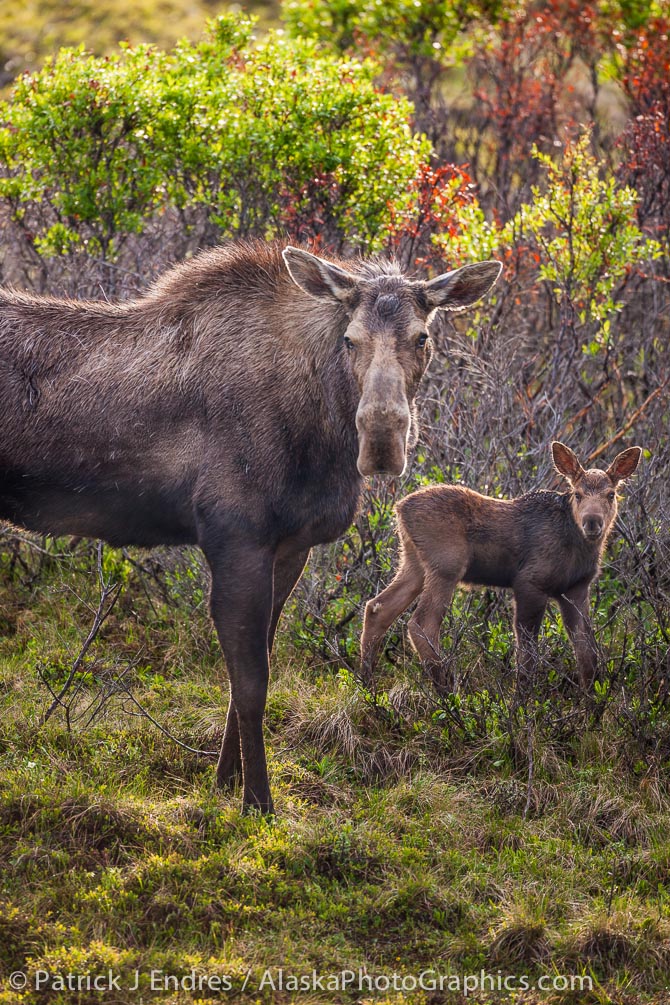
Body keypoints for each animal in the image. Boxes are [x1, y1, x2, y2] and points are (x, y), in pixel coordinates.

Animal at [0, 239, 502, 812]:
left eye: (423, 337)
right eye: (349, 339)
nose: (381, 439)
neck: (320, 432)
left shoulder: (291, 547)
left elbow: (256, 661)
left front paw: (224, 780)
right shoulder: (235, 536)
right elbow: (251, 683)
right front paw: (256, 800)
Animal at [361, 444, 642, 695]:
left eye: (611, 494)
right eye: (577, 494)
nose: (592, 522)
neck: (577, 546)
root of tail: (399, 508)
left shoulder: (576, 589)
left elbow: (587, 654)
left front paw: (593, 704)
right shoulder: (530, 583)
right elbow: (527, 654)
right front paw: (522, 703)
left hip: (414, 563)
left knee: (377, 608)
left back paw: (368, 689)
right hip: (446, 566)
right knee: (422, 623)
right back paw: (449, 696)